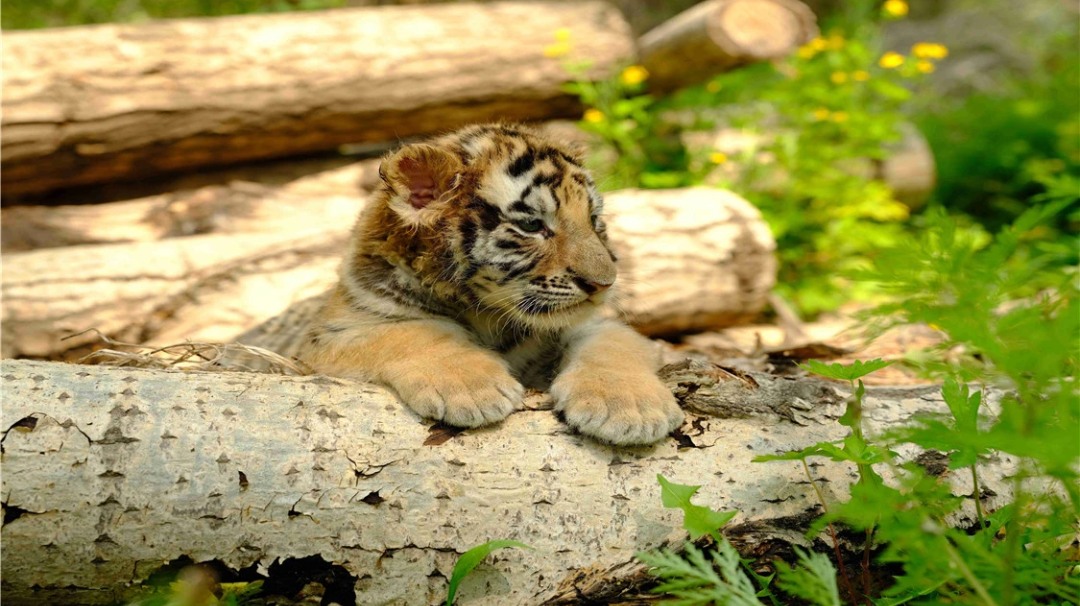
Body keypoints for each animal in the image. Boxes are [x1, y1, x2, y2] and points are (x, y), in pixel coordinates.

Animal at [298, 123, 683, 445]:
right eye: (531, 225)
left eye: (593, 220)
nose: (604, 284)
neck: (486, 314)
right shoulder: (332, 334)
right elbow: (410, 331)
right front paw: (472, 388)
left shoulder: (594, 325)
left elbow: (612, 340)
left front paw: (628, 409)